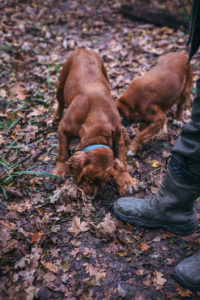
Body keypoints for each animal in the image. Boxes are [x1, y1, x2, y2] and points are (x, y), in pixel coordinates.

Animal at [51, 48, 137, 199]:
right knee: (60, 102)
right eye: (87, 178)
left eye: (101, 183)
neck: (98, 123)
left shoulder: (118, 136)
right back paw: (54, 117)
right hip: (61, 82)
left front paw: (127, 180)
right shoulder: (63, 128)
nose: (90, 197)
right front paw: (60, 170)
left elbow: (122, 161)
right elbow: (62, 151)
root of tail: (83, 49)